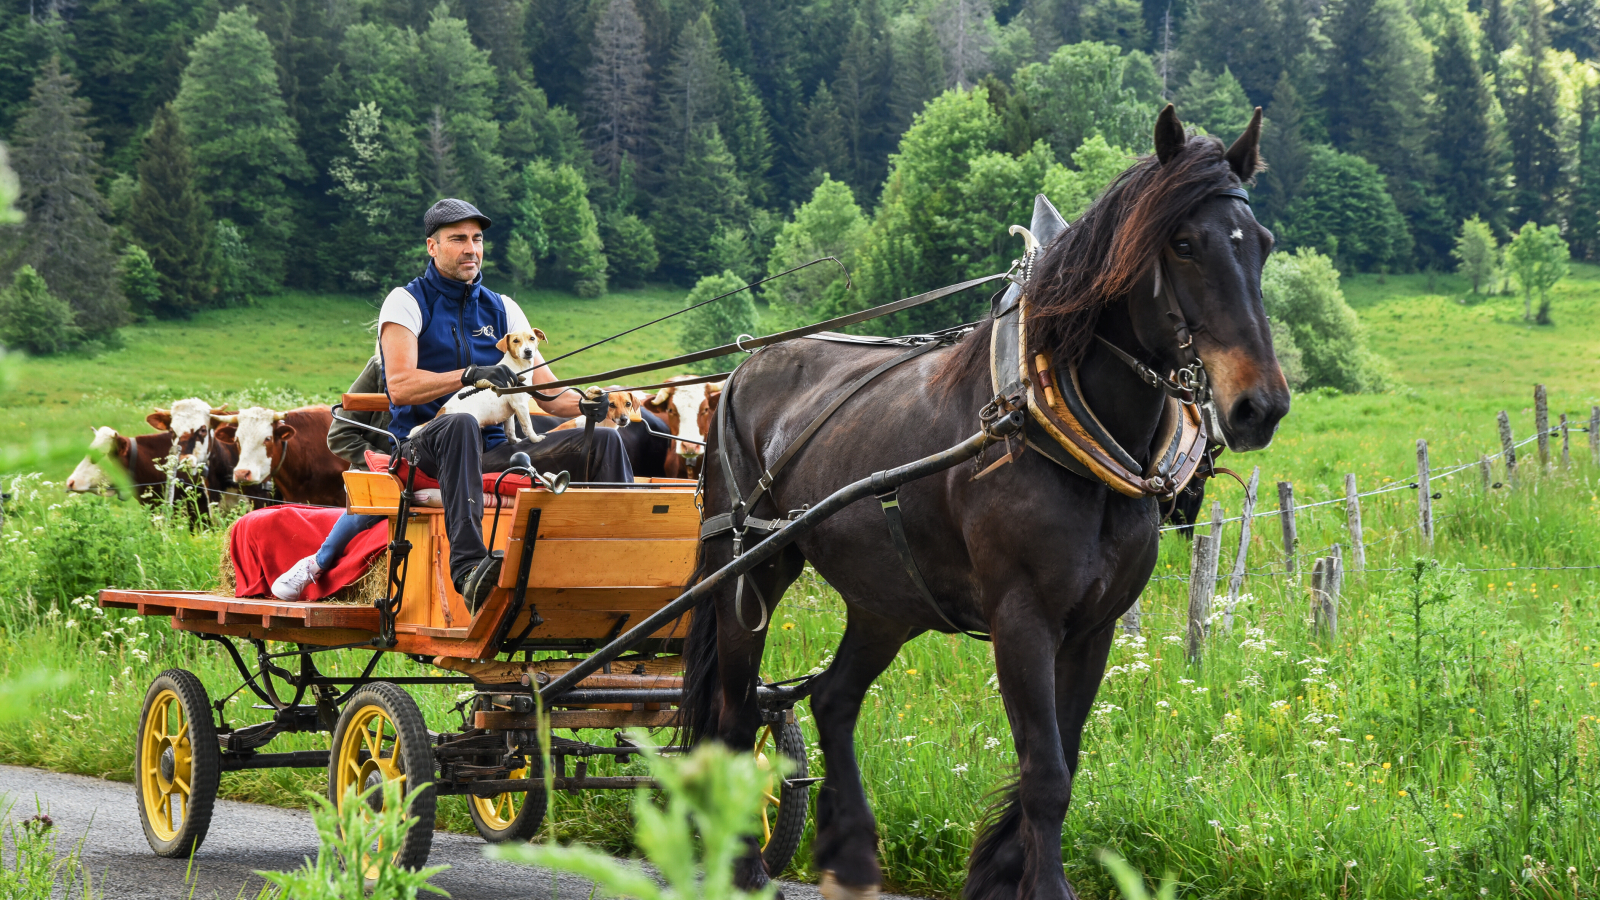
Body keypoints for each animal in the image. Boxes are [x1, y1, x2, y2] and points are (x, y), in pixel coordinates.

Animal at [412, 328, 550, 441]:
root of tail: (441, 413)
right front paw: (535, 438)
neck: (517, 366)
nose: (528, 351)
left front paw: (514, 441)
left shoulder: (511, 411)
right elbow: (527, 425)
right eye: (515, 341)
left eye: (532, 338)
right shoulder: (520, 405)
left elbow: (510, 430)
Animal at [681, 106, 1292, 896]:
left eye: (1264, 246)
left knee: (833, 699)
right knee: (732, 713)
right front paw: (1041, 883)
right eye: (1183, 244)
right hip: (751, 567)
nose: (1259, 406)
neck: (1052, 424)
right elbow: (1046, 773)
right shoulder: (1021, 619)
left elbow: (1065, 757)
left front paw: (1004, 870)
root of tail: (744, 369)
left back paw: (850, 853)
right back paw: (745, 862)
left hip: (887, 599)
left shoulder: (1094, 627)